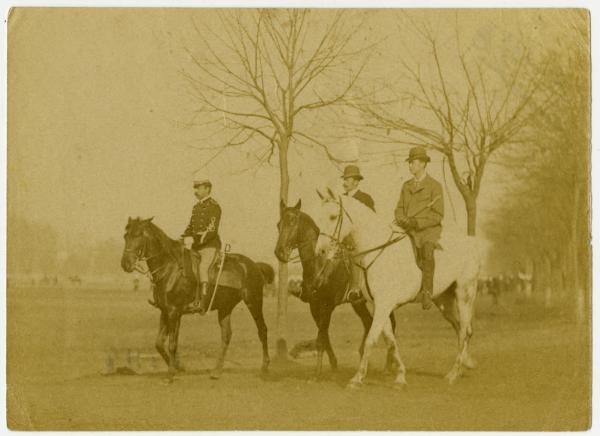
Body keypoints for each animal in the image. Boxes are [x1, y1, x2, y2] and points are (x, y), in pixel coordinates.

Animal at [122, 218, 272, 382]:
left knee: (262, 330)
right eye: (125, 236)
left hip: (254, 301)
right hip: (225, 308)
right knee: (226, 335)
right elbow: (159, 343)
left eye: (137, 235)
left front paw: (171, 374)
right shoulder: (166, 311)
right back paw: (216, 371)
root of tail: (254, 265)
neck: (170, 269)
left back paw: (264, 368)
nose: (125, 264)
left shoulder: (174, 311)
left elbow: (172, 344)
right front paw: (179, 367)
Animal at [274, 201, 396, 378]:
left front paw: (317, 373)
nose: (279, 253)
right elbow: (324, 336)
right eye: (278, 224)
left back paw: (388, 365)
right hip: (358, 303)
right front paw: (333, 364)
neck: (319, 264)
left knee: (391, 324)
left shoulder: (328, 306)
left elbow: (321, 337)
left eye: (292, 222)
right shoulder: (314, 306)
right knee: (368, 322)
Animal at [316, 191, 480, 388]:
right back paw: (462, 366)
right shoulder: (379, 306)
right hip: (443, 300)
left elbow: (371, 339)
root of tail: (471, 243)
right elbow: (390, 340)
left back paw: (453, 374)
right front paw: (400, 376)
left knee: (464, 331)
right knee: (459, 328)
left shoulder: (383, 305)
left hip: (464, 294)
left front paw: (357, 378)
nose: (320, 251)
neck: (377, 252)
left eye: (333, 217)